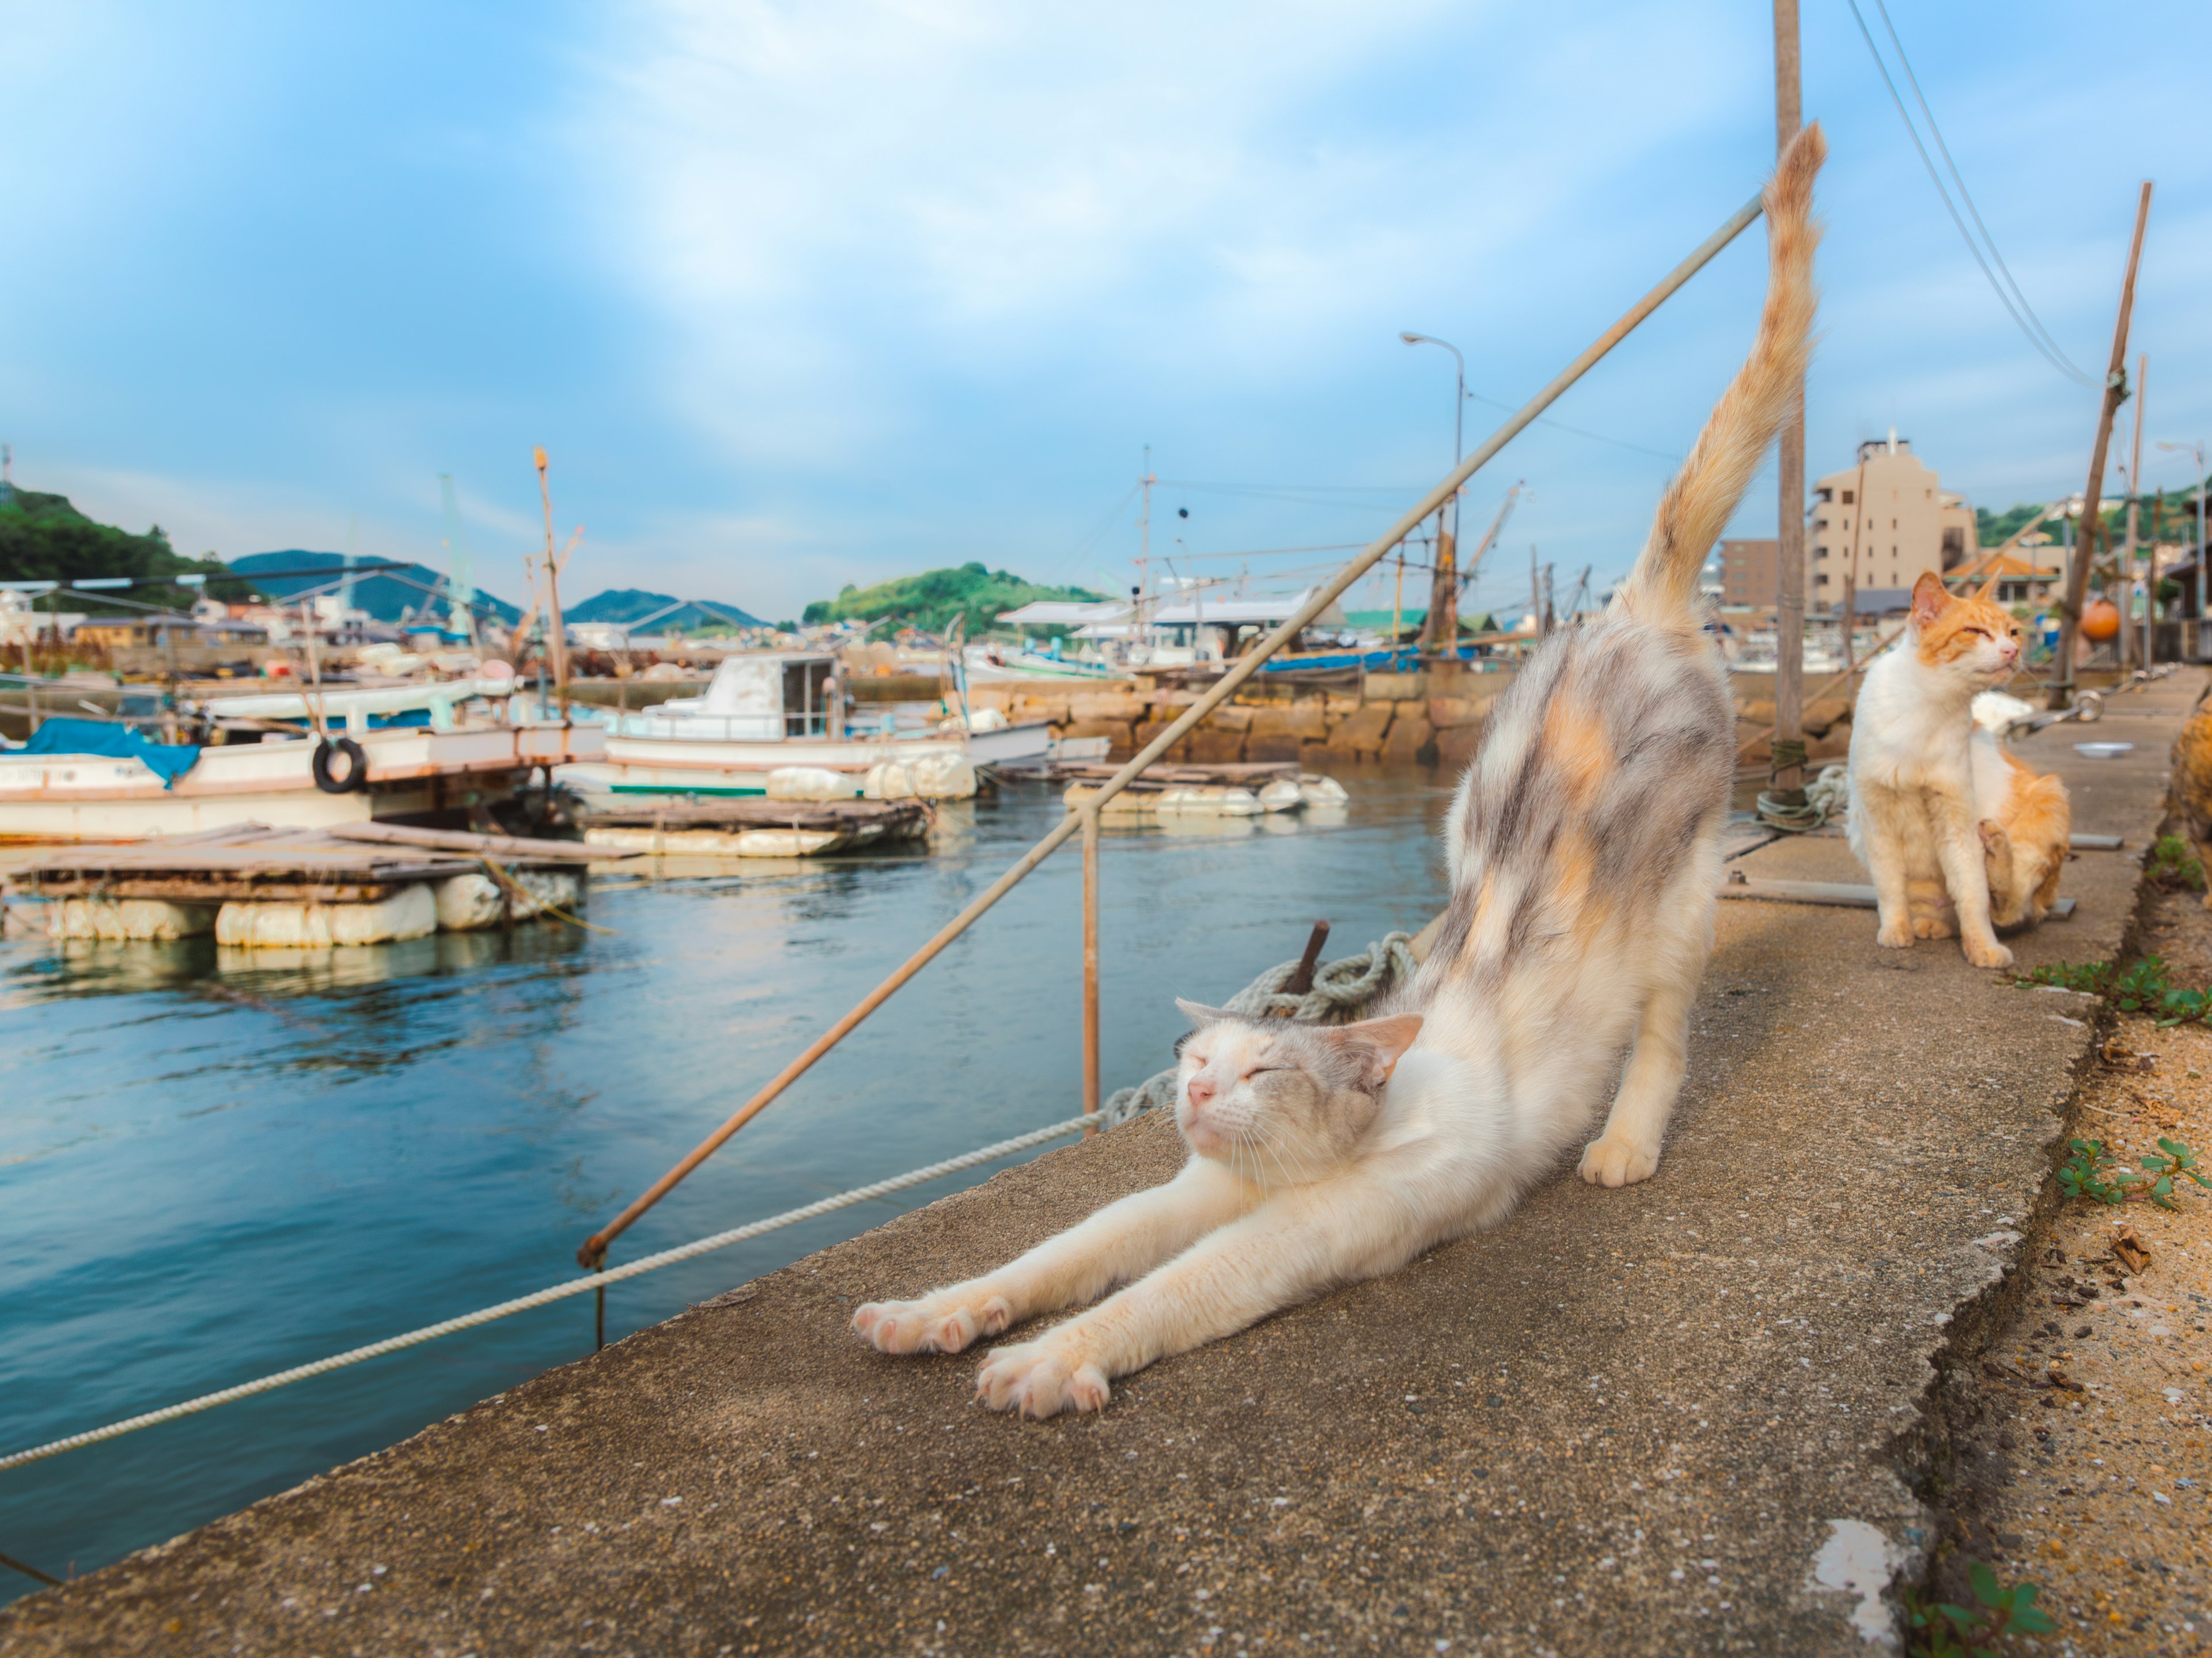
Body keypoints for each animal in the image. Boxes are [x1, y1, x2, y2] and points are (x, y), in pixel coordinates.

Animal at [854, 126, 1823, 1432]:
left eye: (1264, 1067)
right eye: (1194, 1063)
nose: (1197, 1097)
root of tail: (1632, 608)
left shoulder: (1311, 1229)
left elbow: (1163, 1290)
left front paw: (1052, 1359)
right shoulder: (1178, 1194)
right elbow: (1065, 1250)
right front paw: (940, 1311)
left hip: (1682, 897)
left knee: (1666, 1033)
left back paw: (1625, 1141)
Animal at [1840, 570, 2026, 968]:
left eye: (2014, 632)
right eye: (1974, 631)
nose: (2013, 651)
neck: (1929, 707)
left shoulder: (1955, 815)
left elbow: (1973, 893)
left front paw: (1982, 947)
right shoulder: (1877, 818)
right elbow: (1890, 886)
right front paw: (1896, 930)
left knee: (2004, 904)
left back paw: (1996, 846)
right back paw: (1928, 924)